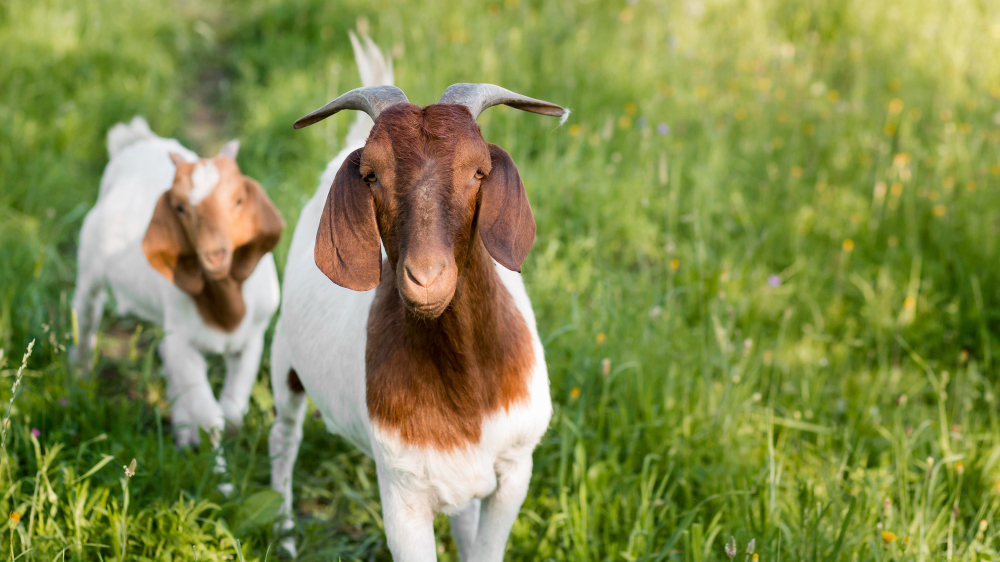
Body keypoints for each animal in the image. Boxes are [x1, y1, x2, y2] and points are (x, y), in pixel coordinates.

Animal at [72, 118, 284, 460]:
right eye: (181, 207)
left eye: (238, 200)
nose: (214, 255)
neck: (225, 311)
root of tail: (136, 141)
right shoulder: (184, 343)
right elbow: (211, 418)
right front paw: (216, 471)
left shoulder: (252, 339)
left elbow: (232, 413)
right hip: (89, 269)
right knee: (85, 317)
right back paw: (78, 380)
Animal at [269, 32, 566, 561]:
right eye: (372, 175)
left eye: (478, 171)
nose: (425, 278)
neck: (467, 389)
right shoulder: (402, 493)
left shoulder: (515, 468)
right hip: (285, 362)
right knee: (282, 437)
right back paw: (284, 535)